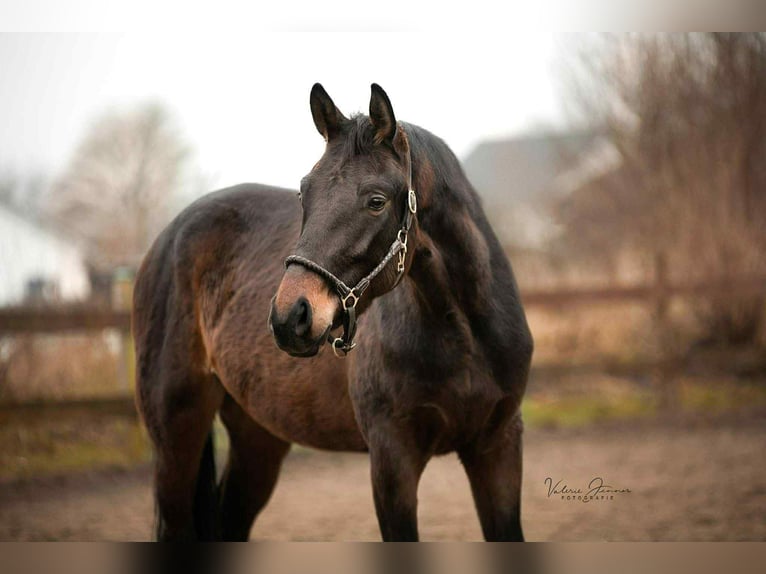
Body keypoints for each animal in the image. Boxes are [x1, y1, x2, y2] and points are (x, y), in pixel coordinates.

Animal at [133, 83, 533, 541]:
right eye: (304, 192)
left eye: (376, 201)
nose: (290, 317)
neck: (464, 337)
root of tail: (168, 237)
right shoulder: (393, 461)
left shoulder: (498, 448)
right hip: (175, 438)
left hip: (257, 436)